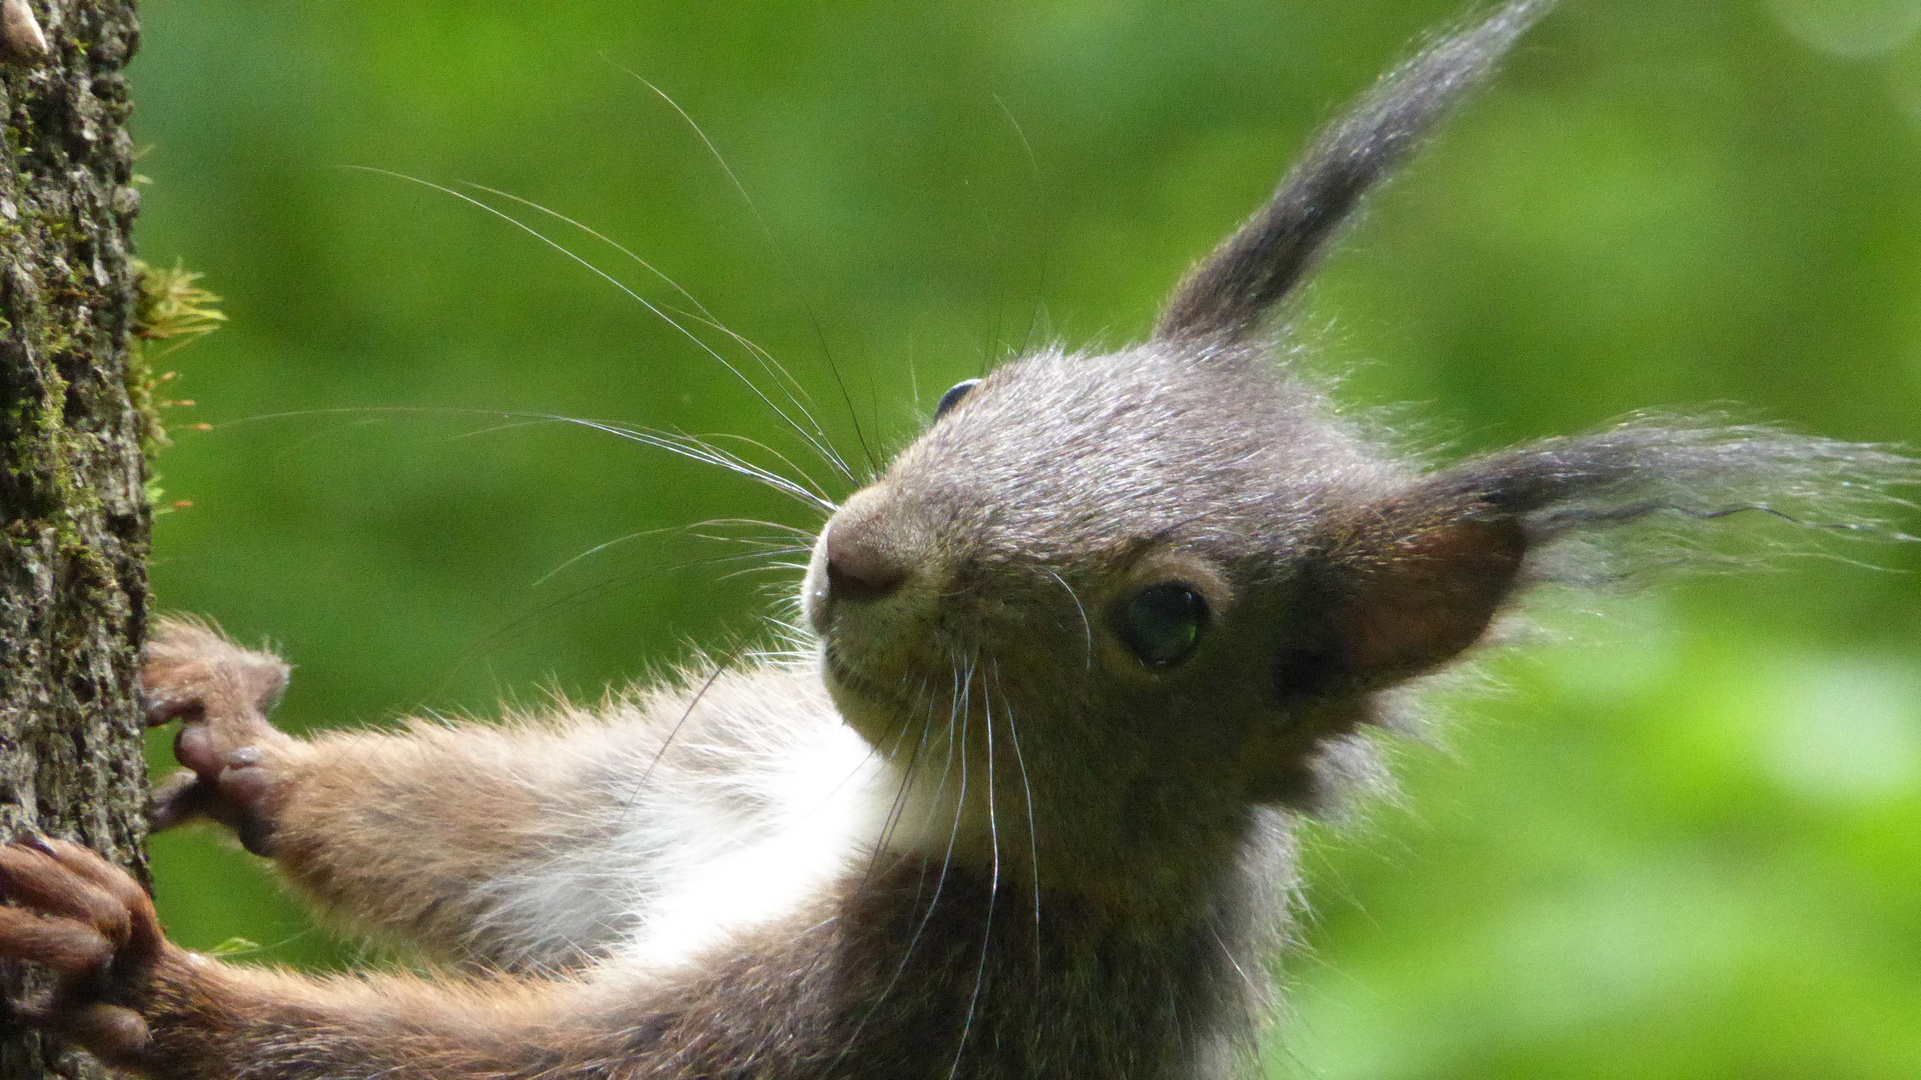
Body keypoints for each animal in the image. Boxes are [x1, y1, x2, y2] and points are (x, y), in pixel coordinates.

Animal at [0, 2, 1905, 1076]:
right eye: (971, 388)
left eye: (1170, 618)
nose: (861, 560)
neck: (876, 794)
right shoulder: (696, 792)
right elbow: (508, 840)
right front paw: (229, 724)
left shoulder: (931, 996)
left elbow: (562, 1057)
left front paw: (149, 982)